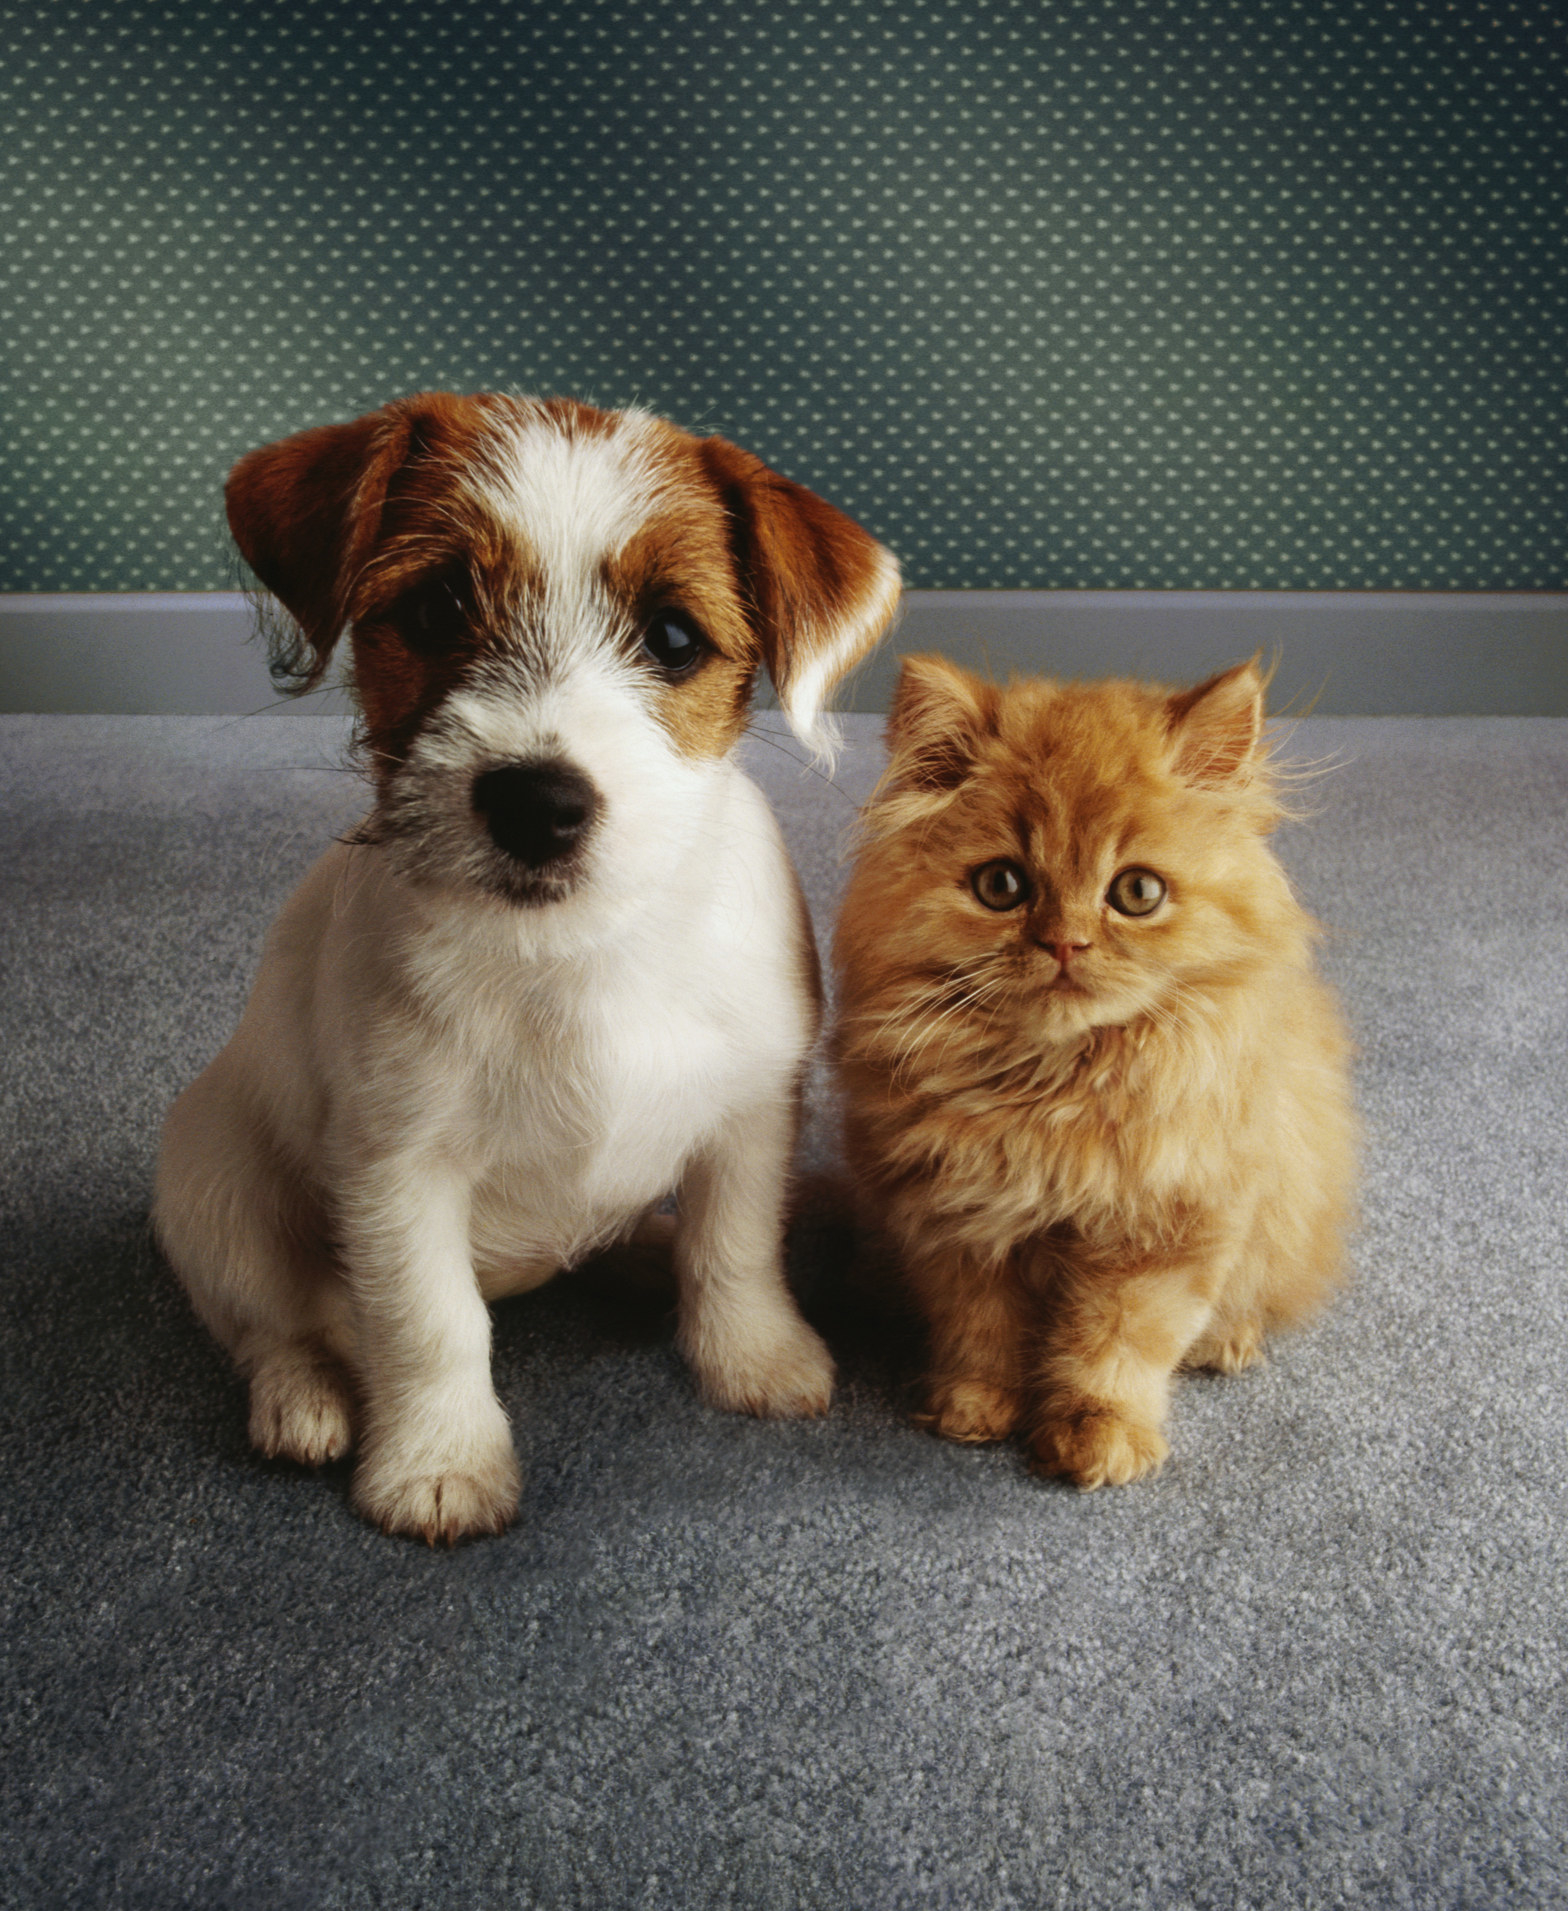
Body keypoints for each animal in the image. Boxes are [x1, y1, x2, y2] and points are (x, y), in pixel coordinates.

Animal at [157, 387, 897, 1536]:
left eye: (672, 636)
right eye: (434, 612)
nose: (535, 803)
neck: (578, 952)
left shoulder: (750, 1114)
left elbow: (735, 1247)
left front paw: (754, 1357)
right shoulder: (396, 1167)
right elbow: (429, 1324)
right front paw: (439, 1463)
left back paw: (640, 1252)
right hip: (213, 1191)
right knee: (270, 1324)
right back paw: (304, 1401)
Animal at [832, 657, 1359, 1490]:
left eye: (1136, 893)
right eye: (1002, 886)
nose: (1066, 944)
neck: (1051, 1091)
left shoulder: (1166, 1230)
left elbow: (1116, 1346)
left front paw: (1097, 1436)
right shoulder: (954, 1222)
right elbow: (980, 1331)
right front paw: (975, 1407)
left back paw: (1227, 1341)